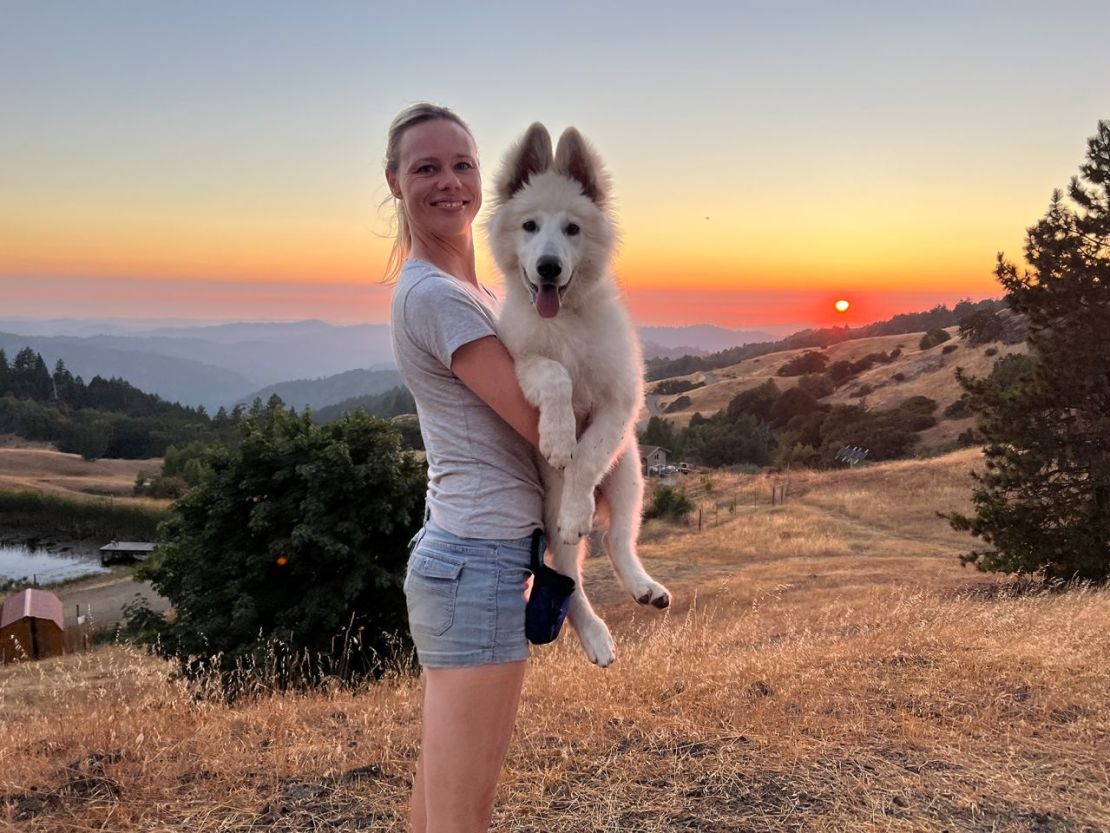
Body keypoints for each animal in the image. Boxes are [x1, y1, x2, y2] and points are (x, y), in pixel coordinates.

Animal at [486, 120, 666, 670]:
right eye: (529, 226)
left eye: (572, 229)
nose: (548, 267)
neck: (562, 318)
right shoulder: (520, 362)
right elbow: (555, 376)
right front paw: (558, 437)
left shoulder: (620, 398)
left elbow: (587, 459)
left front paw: (575, 500)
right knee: (573, 585)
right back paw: (597, 637)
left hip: (629, 471)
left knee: (616, 536)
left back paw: (644, 586)